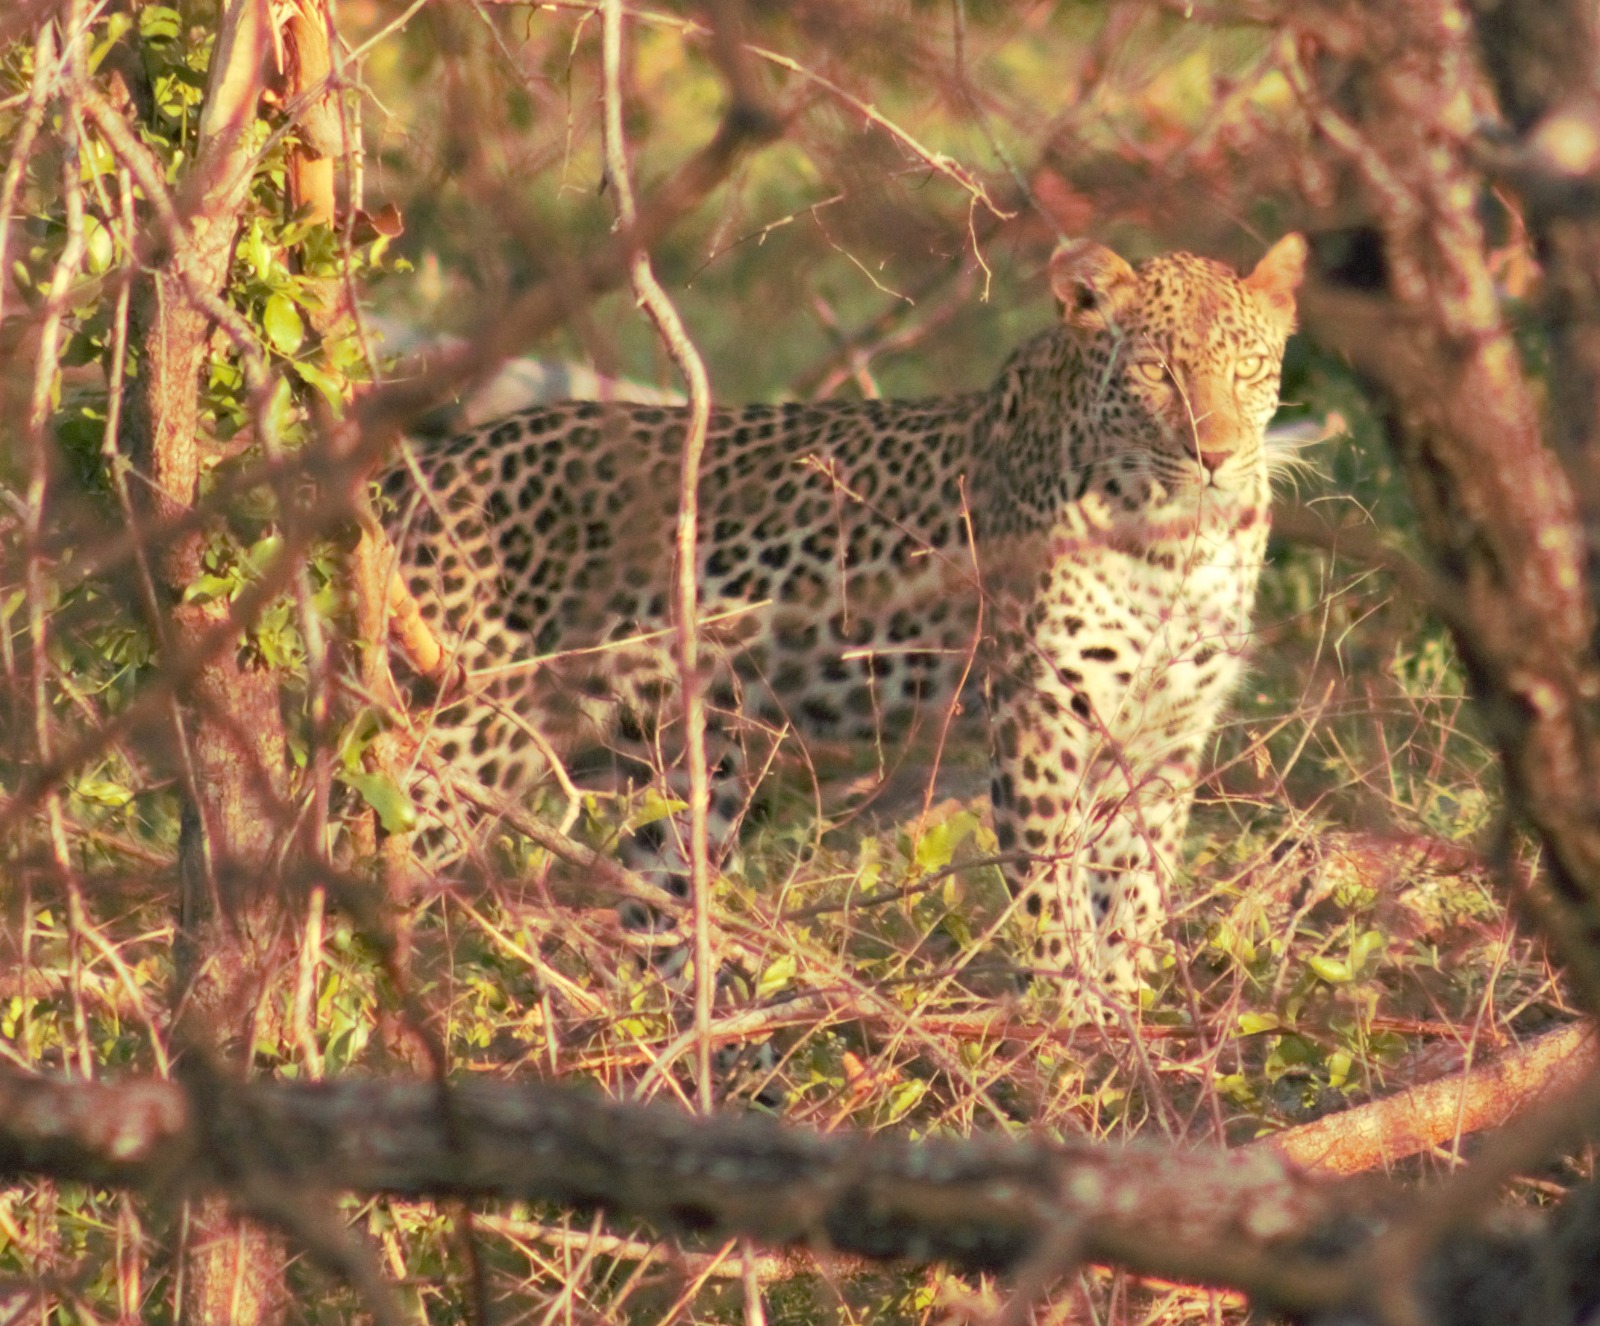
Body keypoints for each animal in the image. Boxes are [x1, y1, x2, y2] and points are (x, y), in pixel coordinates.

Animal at [378, 233, 1307, 1020]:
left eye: (1250, 368)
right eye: (1156, 373)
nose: (1216, 455)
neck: (1181, 542)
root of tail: (417, 470)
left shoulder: (1164, 735)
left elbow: (1135, 894)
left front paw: (1129, 1022)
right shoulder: (1041, 719)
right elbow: (1056, 901)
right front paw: (1074, 1034)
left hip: (683, 764)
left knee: (657, 903)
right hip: (457, 741)